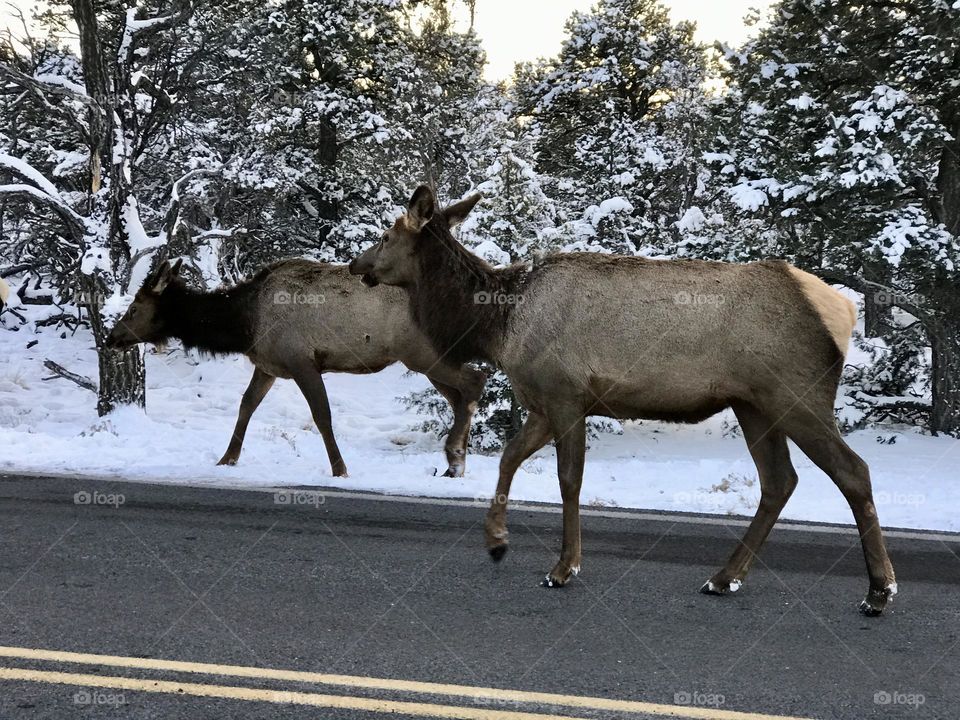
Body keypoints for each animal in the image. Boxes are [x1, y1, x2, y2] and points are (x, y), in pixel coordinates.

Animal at [105, 258, 488, 478]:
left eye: (135, 307)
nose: (112, 337)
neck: (244, 325)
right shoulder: (269, 365)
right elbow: (246, 406)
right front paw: (227, 459)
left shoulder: (301, 361)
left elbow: (322, 416)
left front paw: (340, 469)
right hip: (429, 361)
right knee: (460, 396)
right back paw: (457, 464)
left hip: (422, 355)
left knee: (475, 380)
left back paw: (455, 461)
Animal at [350, 184, 900, 612]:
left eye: (386, 234)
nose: (358, 265)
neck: (499, 328)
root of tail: (844, 311)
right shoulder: (542, 404)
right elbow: (509, 459)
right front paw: (497, 542)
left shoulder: (566, 394)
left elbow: (568, 479)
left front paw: (563, 567)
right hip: (753, 405)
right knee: (779, 480)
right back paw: (723, 578)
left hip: (797, 394)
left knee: (852, 471)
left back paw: (879, 591)